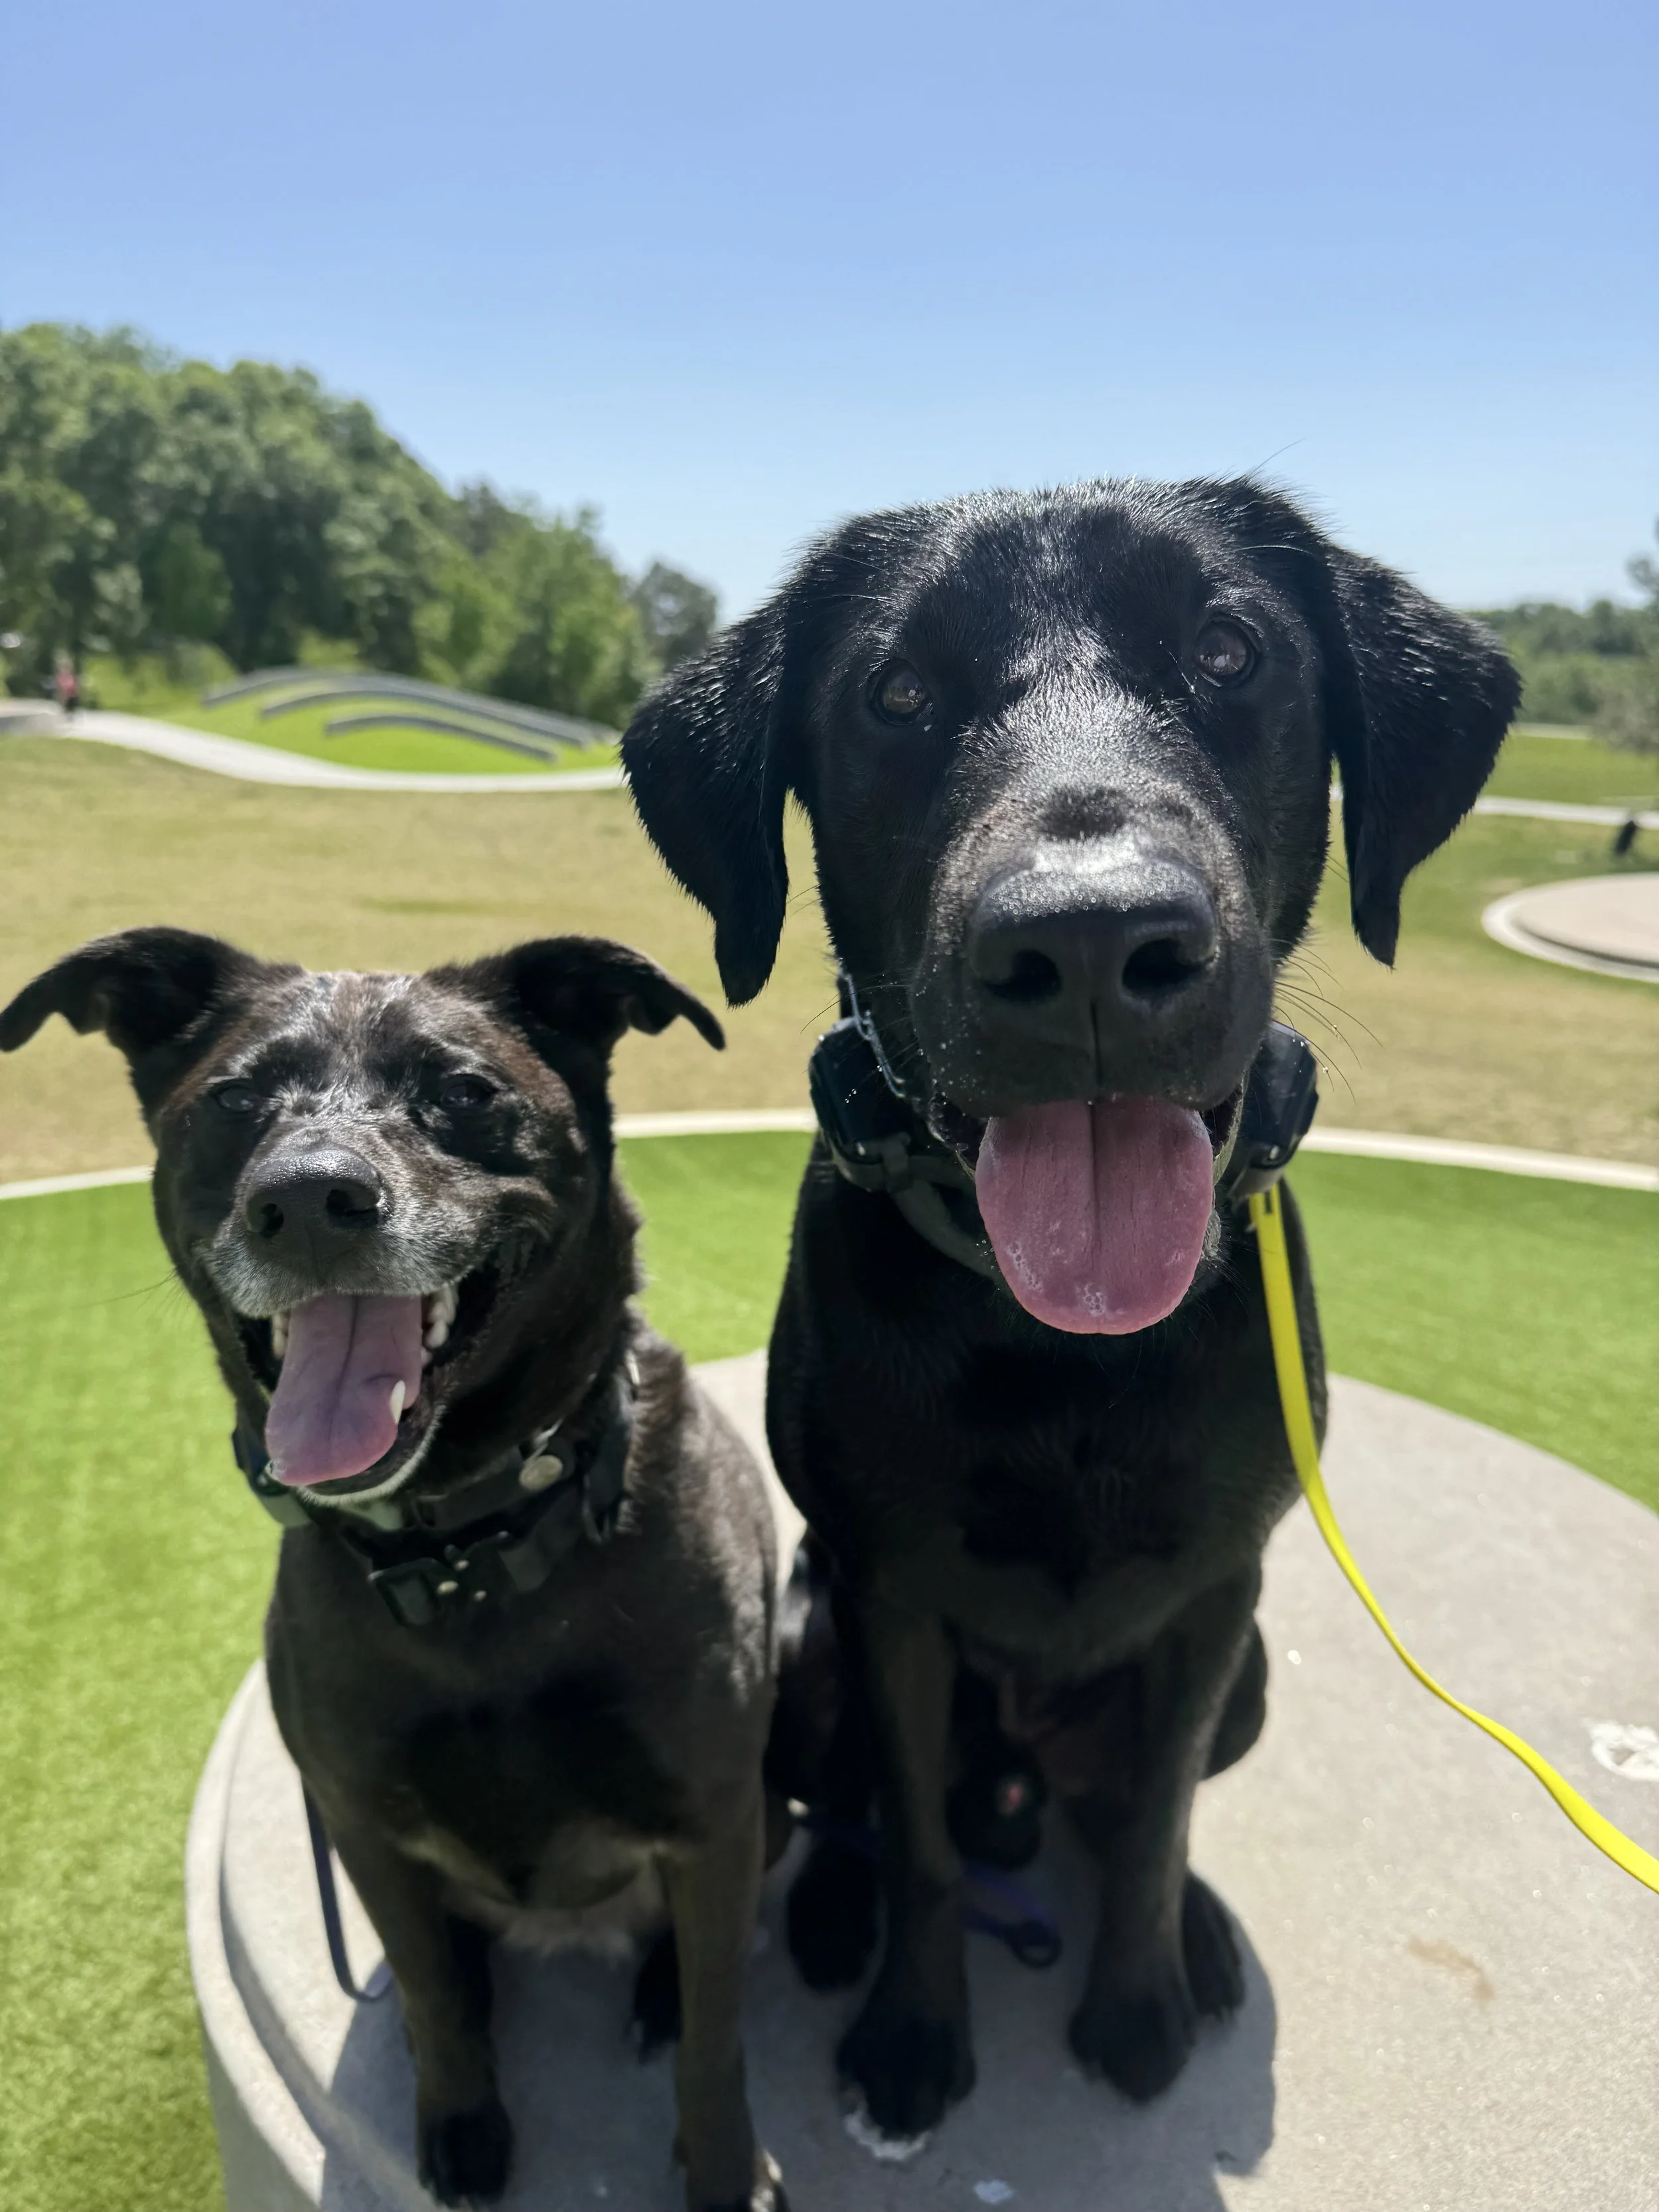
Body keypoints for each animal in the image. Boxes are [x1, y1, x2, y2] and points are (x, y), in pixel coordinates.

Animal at [0, 929, 787, 2212]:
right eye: (233, 1100)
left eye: (463, 1090)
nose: (309, 1200)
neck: (469, 1551)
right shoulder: (362, 1824)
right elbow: (427, 1990)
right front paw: (460, 2118)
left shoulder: (713, 1821)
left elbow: (719, 2035)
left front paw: (723, 2173)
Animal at [622, 477, 1517, 2142]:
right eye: (895, 692)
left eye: (1228, 652)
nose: (1089, 944)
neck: (1061, 1340)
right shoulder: (889, 1601)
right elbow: (915, 1840)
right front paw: (912, 2034)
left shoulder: (1215, 1593)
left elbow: (1156, 1817)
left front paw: (1139, 1998)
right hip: (808, 1640)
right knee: (866, 1818)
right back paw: (834, 1916)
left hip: (1246, 1673)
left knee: (1117, 1816)